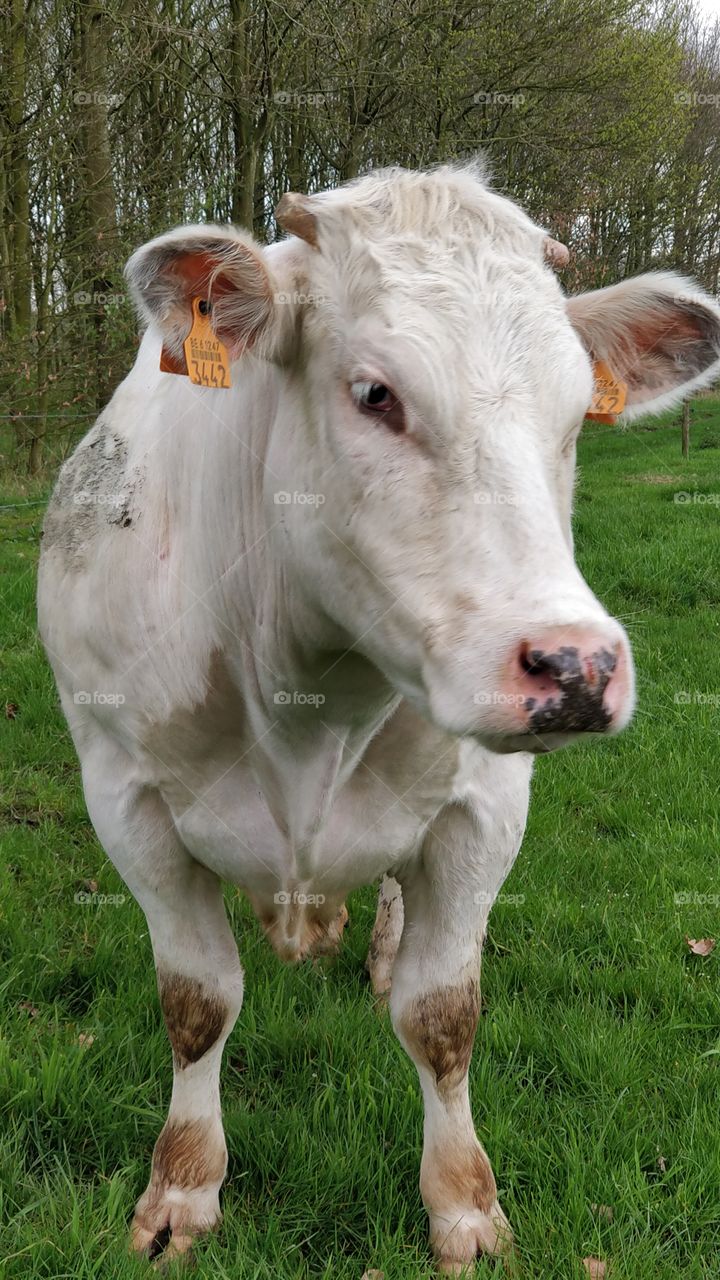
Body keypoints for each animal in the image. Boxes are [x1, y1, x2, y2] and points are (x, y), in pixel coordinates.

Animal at [37, 162, 720, 1273]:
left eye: (577, 413)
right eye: (375, 393)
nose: (575, 666)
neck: (308, 701)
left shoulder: (490, 806)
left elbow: (443, 1016)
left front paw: (466, 1209)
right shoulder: (125, 797)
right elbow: (198, 1002)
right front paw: (183, 1186)